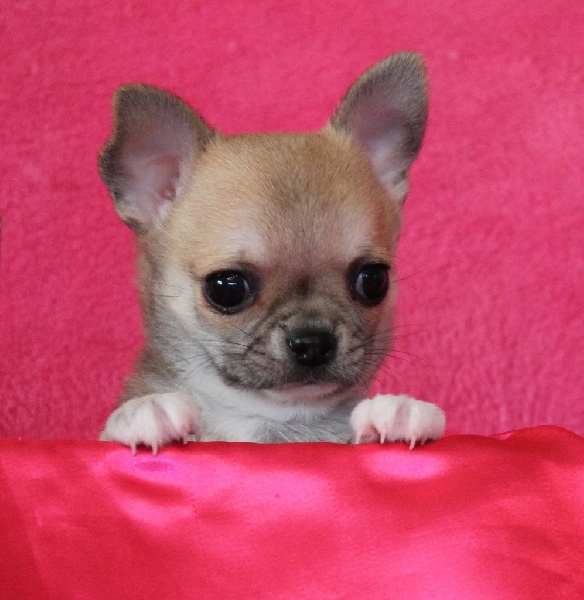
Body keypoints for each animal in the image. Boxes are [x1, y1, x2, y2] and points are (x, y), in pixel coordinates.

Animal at [98, 52, 446, 453]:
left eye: (373, 281)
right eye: (227, 288)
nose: (313, 341)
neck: (276, 425)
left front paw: (396, 411)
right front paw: (146, 410)